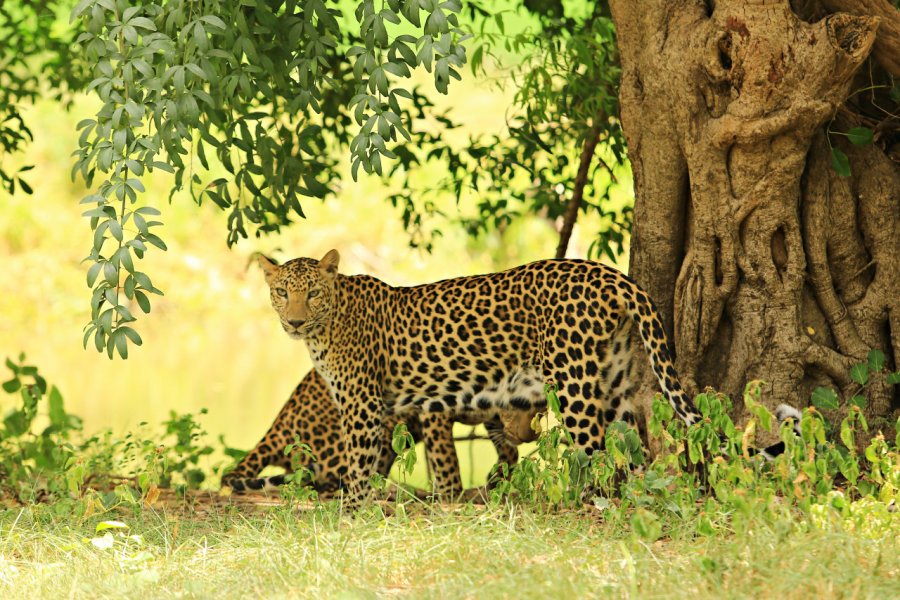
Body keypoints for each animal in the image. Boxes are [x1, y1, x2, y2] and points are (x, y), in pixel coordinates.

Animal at [221, 370, 536, 496]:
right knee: (335, 481)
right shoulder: (435, 412)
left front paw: (498, 477)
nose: (530, 435)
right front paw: (451, 494)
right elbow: (445, 458)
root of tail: (279, 424)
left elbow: (507, 449)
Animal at [256, 250, 800, 506]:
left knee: (593, 453)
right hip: (615, 384)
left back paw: (584, 509)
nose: (294, 321)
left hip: (574, 385)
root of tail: (612, 275)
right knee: (628, 452)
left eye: (311, 293)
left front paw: (352, 511)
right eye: (282, 292)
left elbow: (359, 464)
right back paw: (626, 502)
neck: (326, 326)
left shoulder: (363, 405)